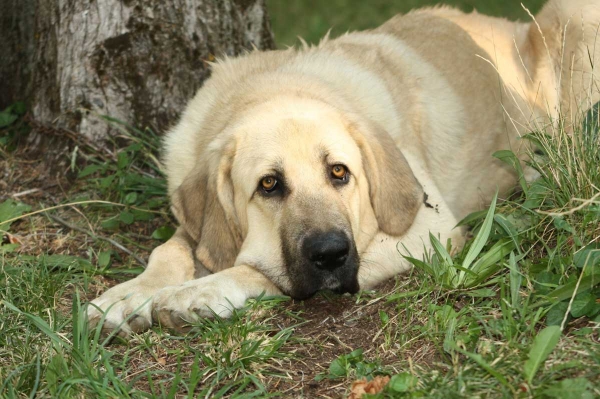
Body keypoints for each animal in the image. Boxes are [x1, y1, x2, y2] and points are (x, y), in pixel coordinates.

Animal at [88, 0, 600, 338]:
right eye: (269, 185)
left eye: (339, 172)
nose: (331, 254)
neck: (272, 87)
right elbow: (172, 249)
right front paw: (129, 294)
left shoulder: (427, 230)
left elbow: (261, 271)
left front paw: (197, 293)